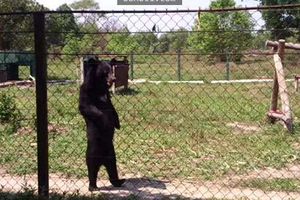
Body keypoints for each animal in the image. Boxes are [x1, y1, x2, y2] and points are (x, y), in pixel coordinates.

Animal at [79, 57, 125, 191]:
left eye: (112, 70)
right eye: (106, 72)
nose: (114, 79)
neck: (99, 86)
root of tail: (102, 160)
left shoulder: (107, 95)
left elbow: (112, 108)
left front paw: (117, 124)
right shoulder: (87, 91)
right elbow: (88, 107)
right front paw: (106, 123)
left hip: (111, 154)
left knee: (112, 168)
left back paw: (120, 181)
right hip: (93, 152)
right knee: (92, 168)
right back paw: (93, 186)